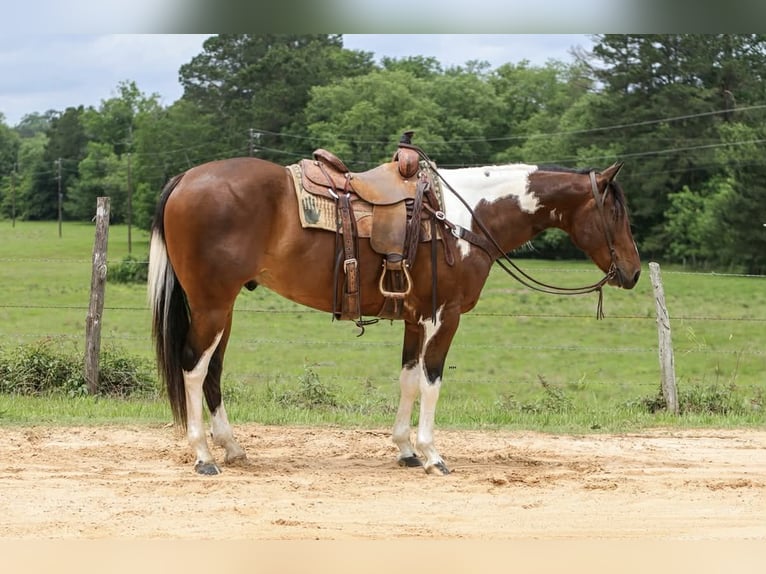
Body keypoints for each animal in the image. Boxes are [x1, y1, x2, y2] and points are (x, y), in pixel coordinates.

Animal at [148, 145, 641, 476]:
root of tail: (185, 178)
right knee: (193, 369)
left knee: (212, 372)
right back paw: (203, 456)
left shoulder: (415, 318)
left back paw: (232, 449)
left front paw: (405, 450)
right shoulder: (445, 315)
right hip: (212, 305)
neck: (462, 219)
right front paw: (432, 454)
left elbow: (408, 378)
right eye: (616, 213)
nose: (633, 272)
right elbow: (432, 380)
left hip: (223, 308)